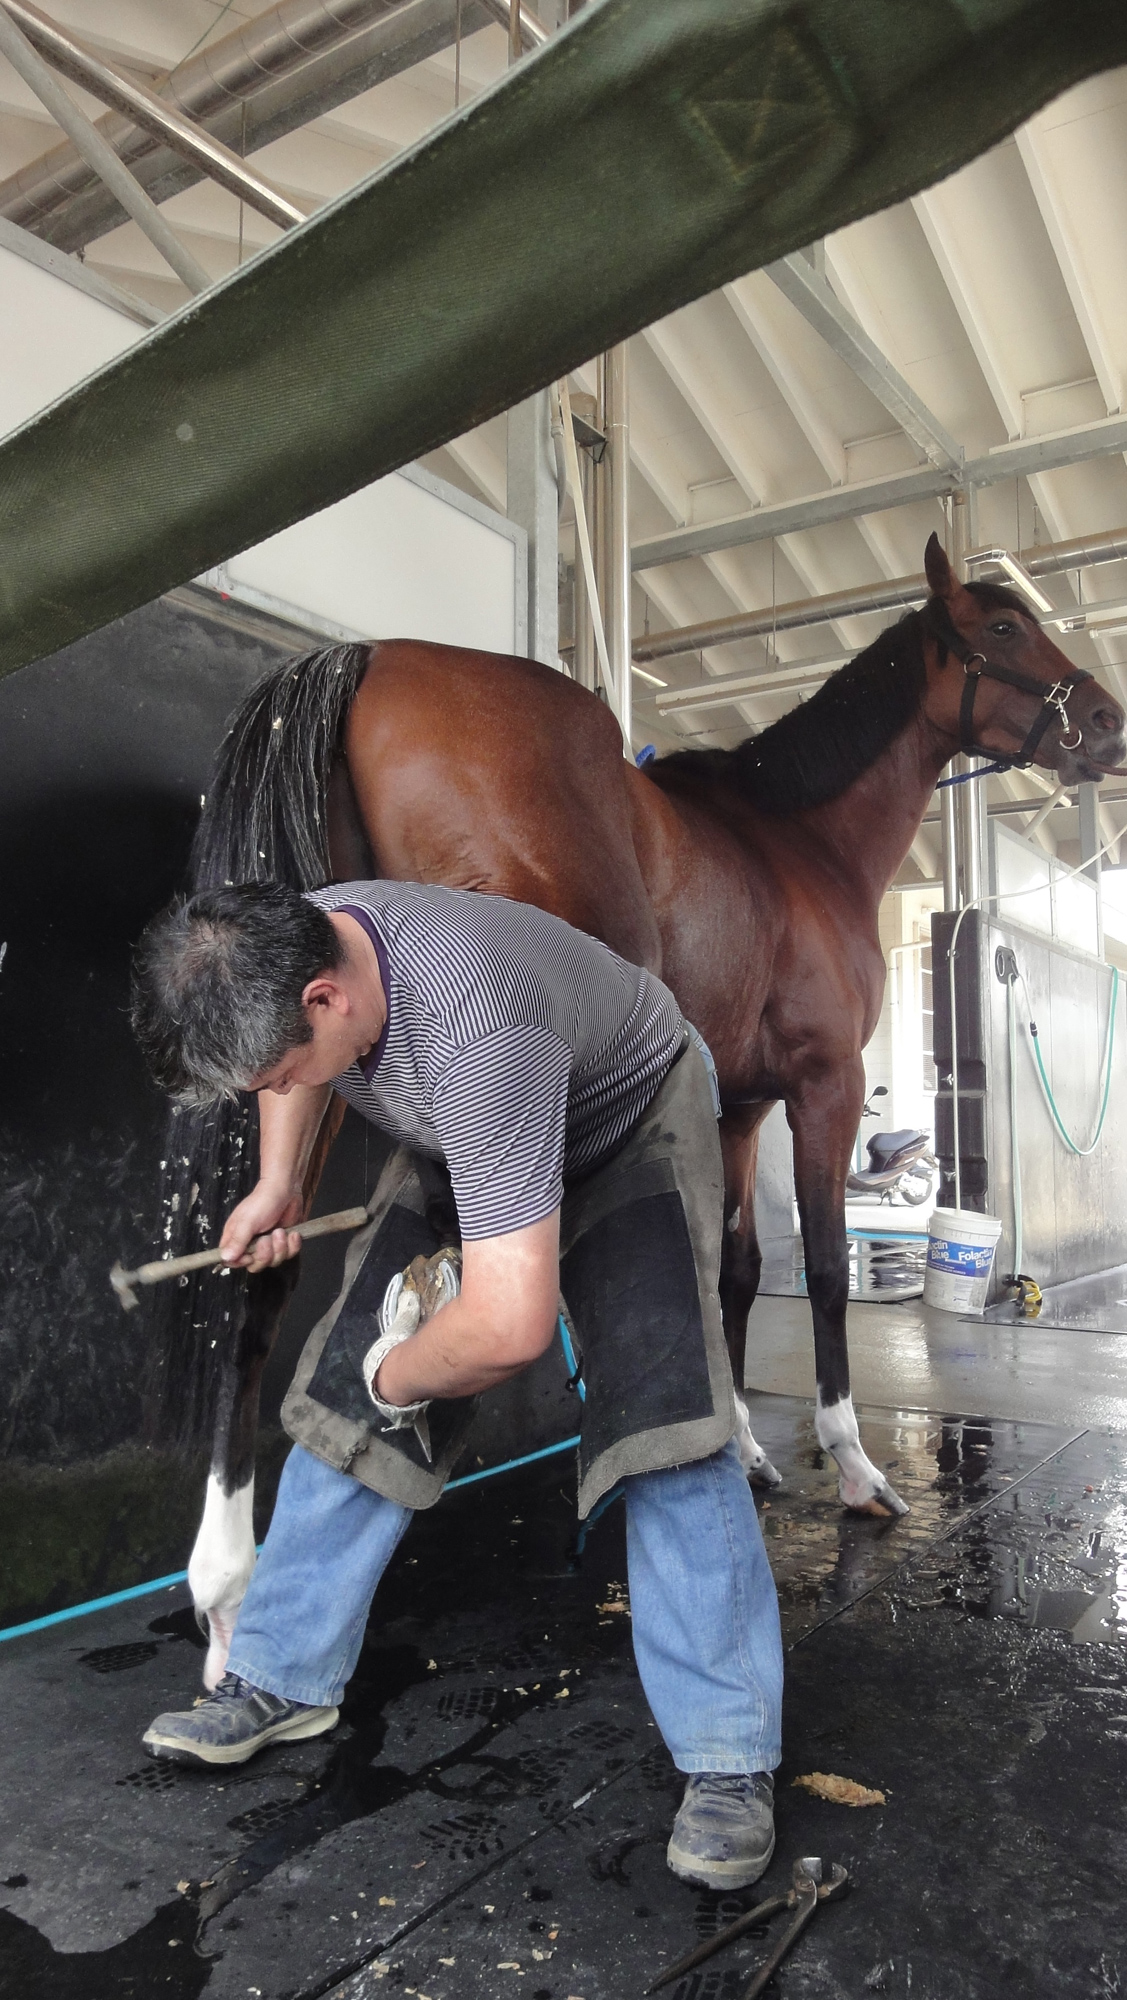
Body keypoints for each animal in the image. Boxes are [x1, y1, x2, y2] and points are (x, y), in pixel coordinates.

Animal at [147, 536, 1119, 1688]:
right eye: (1005, 627)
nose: (1106, 720)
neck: (797, 843)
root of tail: (370, 658)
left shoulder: (738, 1106)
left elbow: (735, 1271)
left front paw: (743, 1442)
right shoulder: (822, 1086)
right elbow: (819, 1269)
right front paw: (847, 1462)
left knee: (264, 1267)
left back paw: (227, 1595)